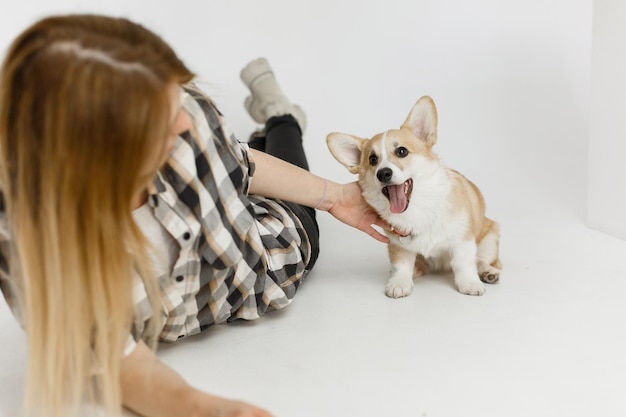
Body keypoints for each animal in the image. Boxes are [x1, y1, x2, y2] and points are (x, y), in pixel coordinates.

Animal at [326, 95, 498, 296]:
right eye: (372, 160)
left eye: (402, 151)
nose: (383, 173)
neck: (418, 208)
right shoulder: (398, 246)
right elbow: (401, 266)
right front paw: (398, 282)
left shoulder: (463, 241)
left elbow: (464, 264)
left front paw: (469, 283)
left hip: (490, 238)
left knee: (481, 259)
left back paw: (487, 272)